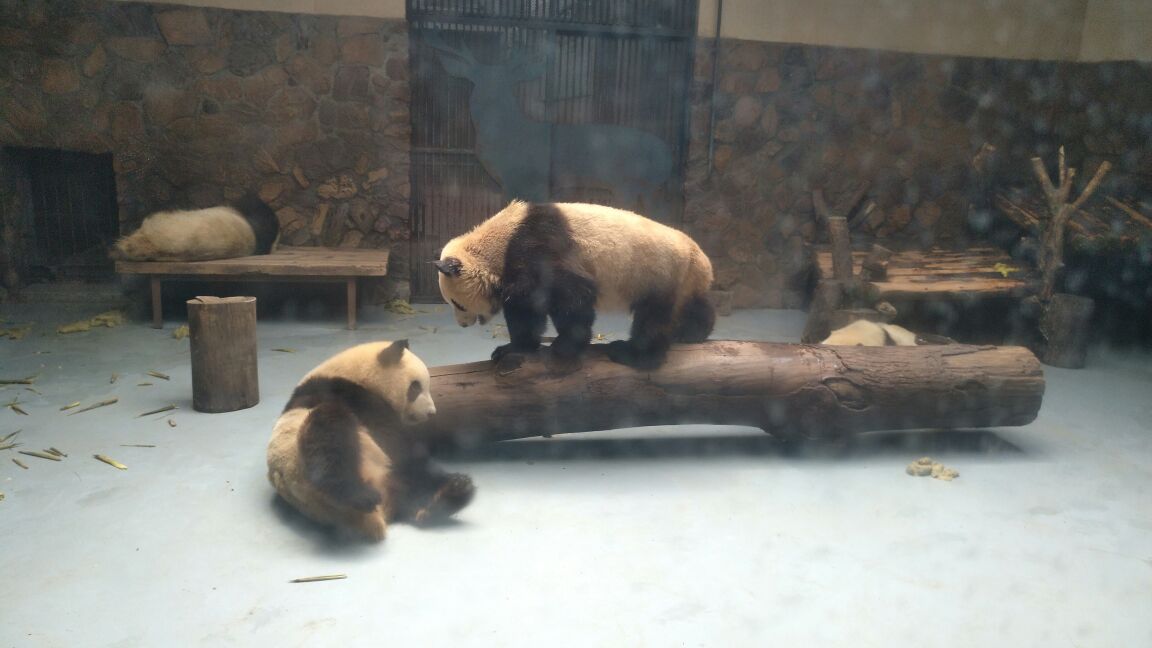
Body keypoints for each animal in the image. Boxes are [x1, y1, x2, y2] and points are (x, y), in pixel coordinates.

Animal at [264, 338, 472, 539]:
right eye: (415, 387)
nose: (431, 412)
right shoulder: (346, 393)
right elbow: (390, 436)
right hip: (306, 454)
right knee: (329, 433)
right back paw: (359, 494)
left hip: (391, 475)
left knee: (417, 487)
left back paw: (452, 493)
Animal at [435, 199, 714, 371]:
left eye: (457, 303)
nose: (463, 324)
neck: (500, 241)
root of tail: (702, 261)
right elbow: (528, 308)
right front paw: (515, 347)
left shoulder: (538, 247)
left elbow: (572, 295)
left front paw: (563, 346)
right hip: (683, 280)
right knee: (695, 305)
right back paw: (693, 332)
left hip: (659, 274)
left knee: (653, 319)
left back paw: (632, 353)